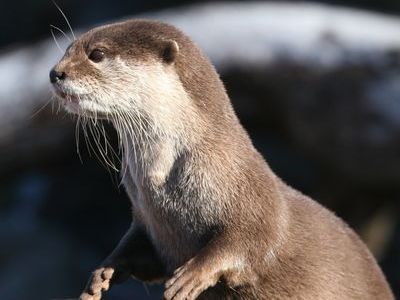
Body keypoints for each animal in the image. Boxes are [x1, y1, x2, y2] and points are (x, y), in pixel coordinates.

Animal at [49, 19, 394, 298]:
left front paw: (191, 275)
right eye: (67, 49)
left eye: (97, 54)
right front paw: (103, 273)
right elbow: (139, 251)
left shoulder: (255, 199)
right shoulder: (146, 220)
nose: (55, 73)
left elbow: (252, 239)